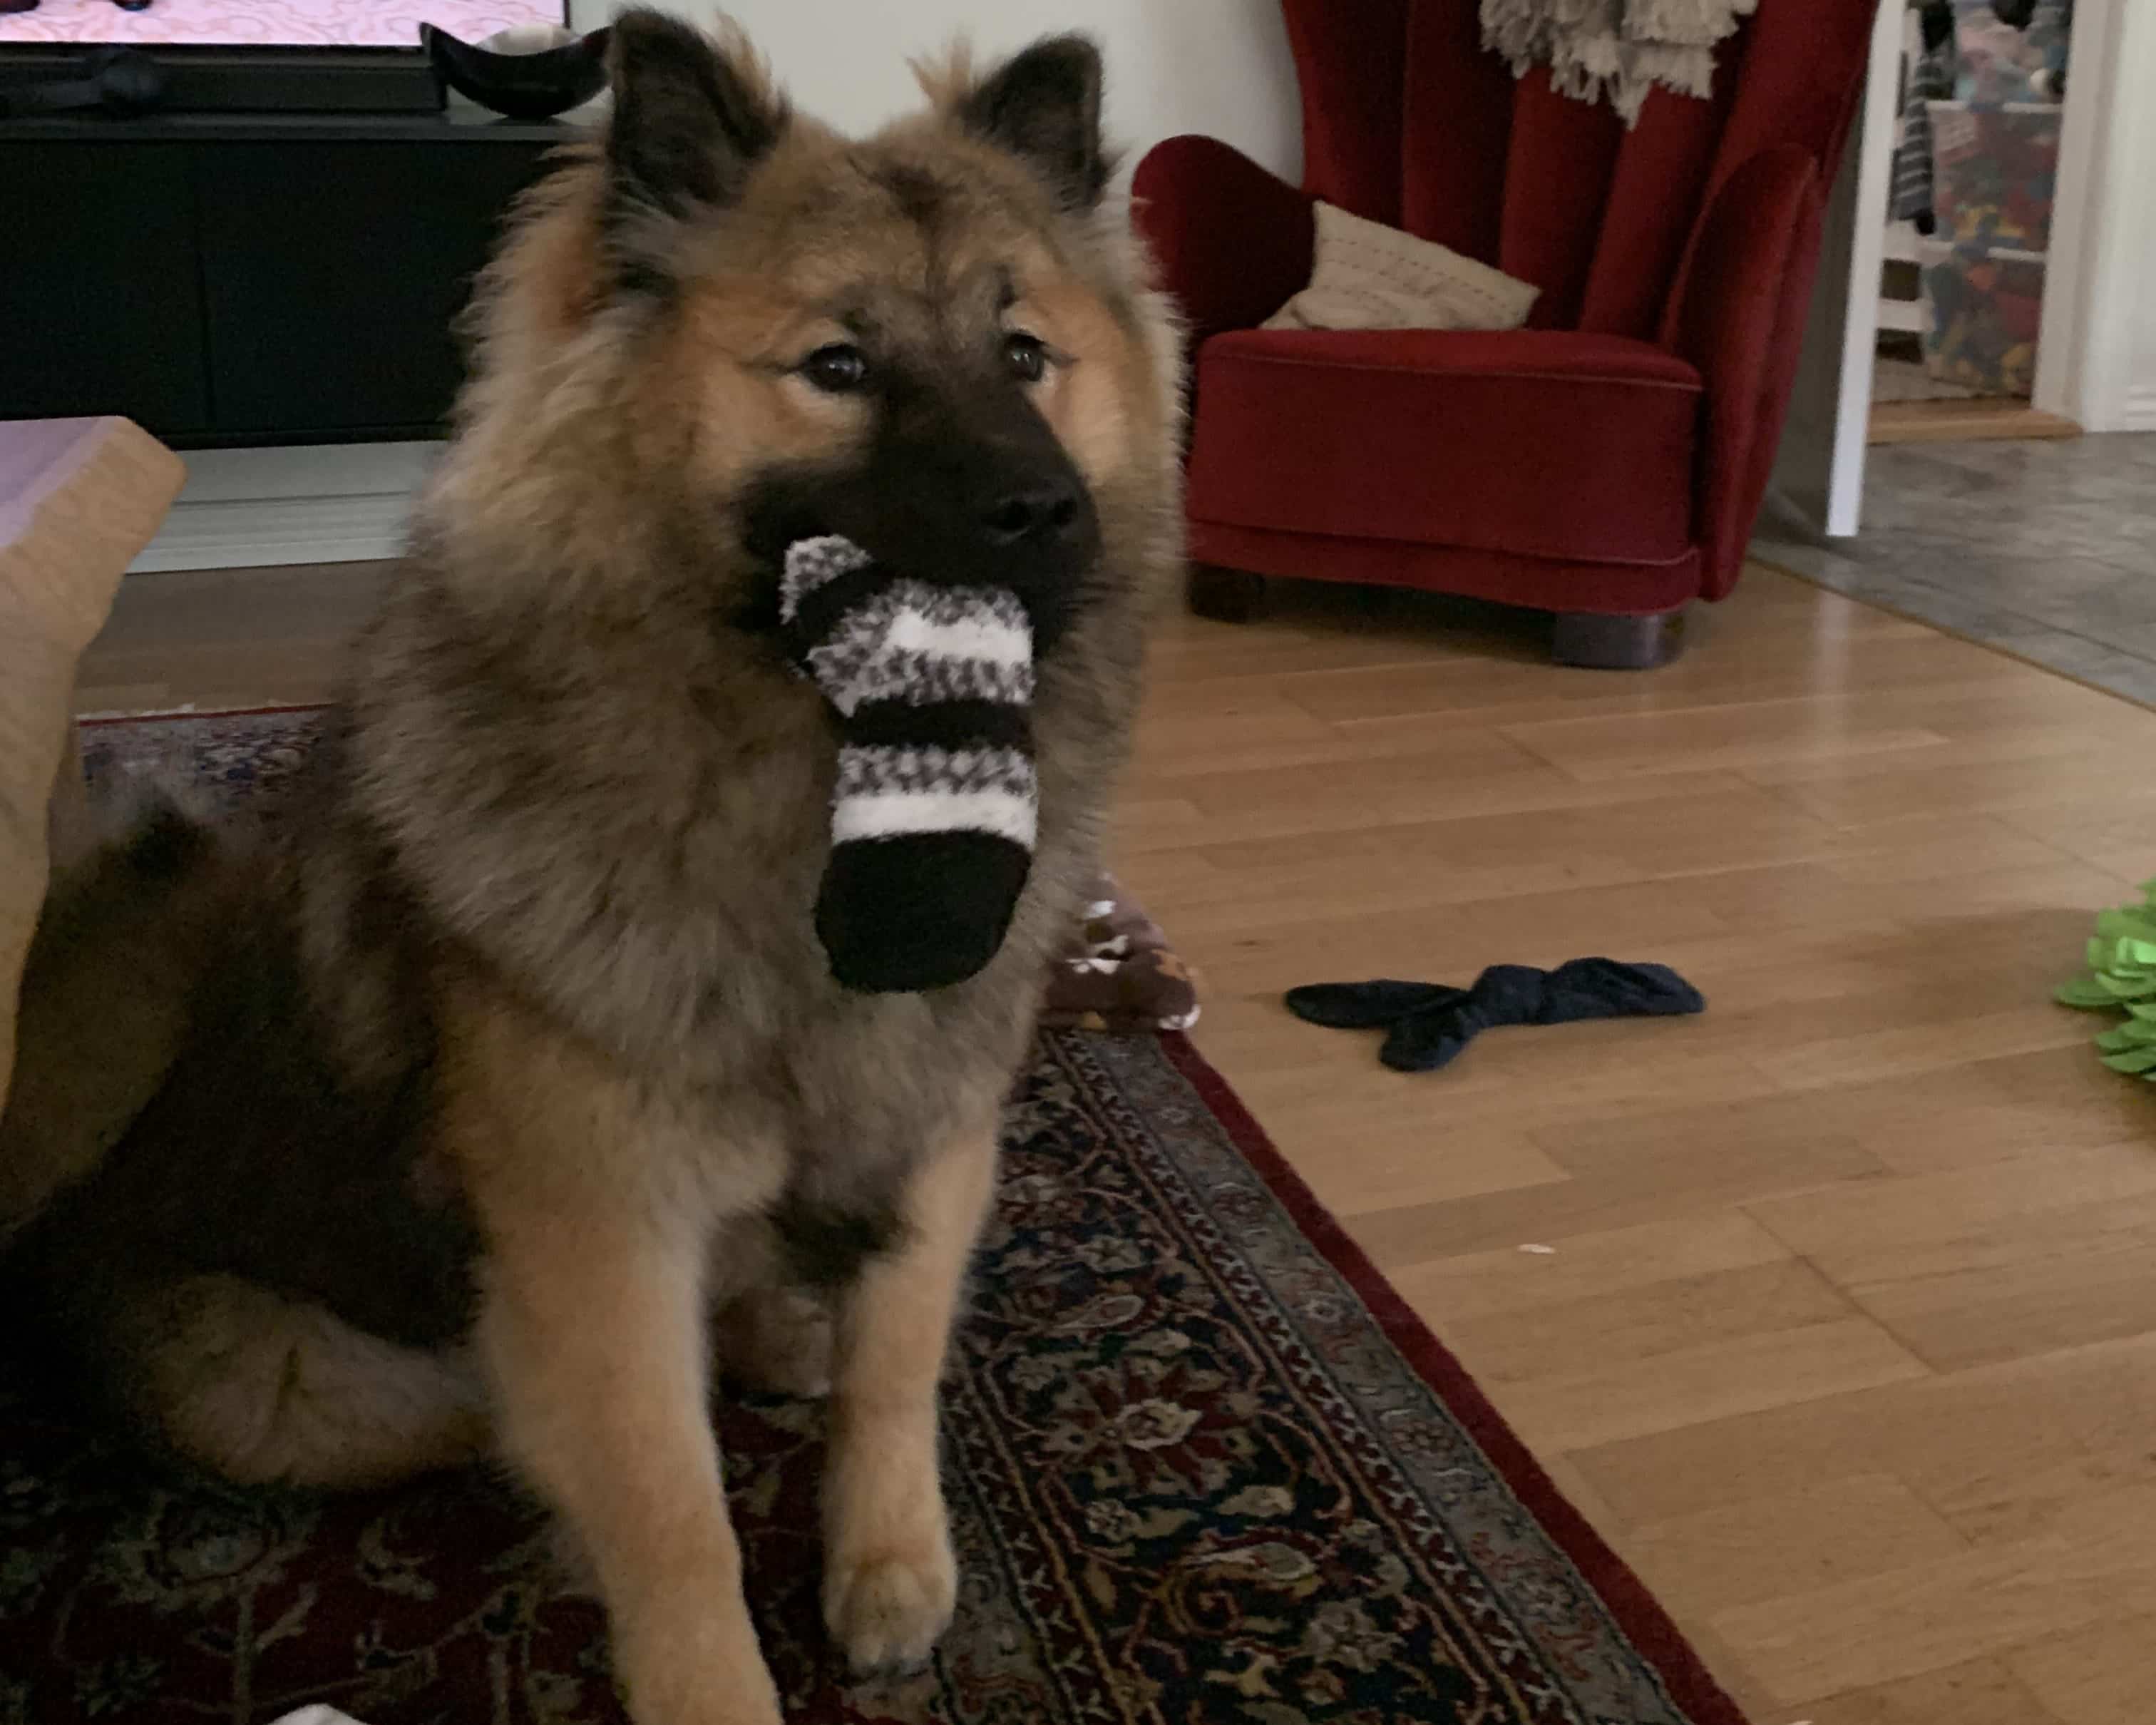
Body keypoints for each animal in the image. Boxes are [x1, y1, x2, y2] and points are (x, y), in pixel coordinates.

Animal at [0, 11, 1184, 1721]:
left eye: (1025, 355)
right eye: (839, 366)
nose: (1047, 510)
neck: (808, 782)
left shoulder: (933, 1127)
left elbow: (897, 1365)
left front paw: (890, 1563)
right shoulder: (602, 1242)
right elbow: (667, 1504)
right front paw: (717, 1680)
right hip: (287, 1385)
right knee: (497, 1412)